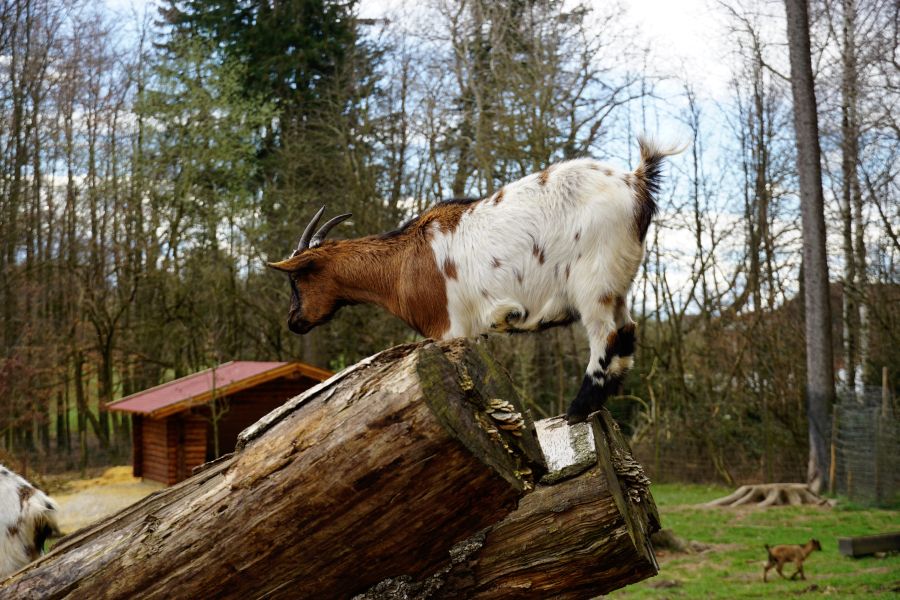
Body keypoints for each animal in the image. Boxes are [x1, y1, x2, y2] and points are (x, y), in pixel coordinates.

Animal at [269, 138, 680, 423]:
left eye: (297, 280)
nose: (293, 321)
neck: (402, 262)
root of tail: (635, 181)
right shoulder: (470, 333)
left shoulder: (447, 326)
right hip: (618, 285)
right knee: (626, 334)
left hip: (592, 281)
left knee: (605, 339)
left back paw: (576, 411)